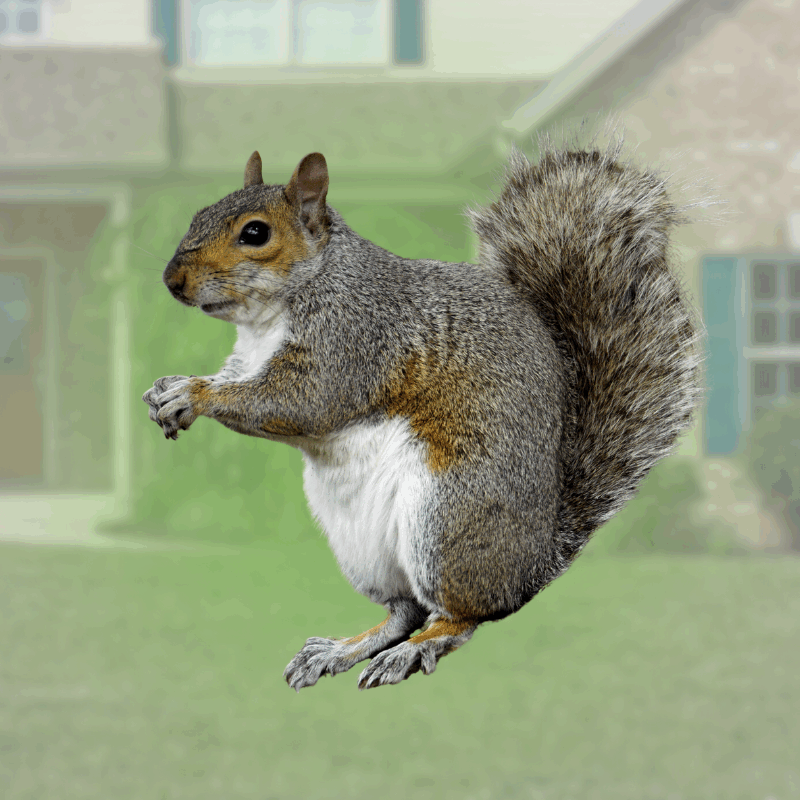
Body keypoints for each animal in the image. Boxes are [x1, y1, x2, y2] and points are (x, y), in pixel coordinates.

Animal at [143, 134, 702, 691]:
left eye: (255, 233)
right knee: (405, 611)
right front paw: (169, 388)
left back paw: (413, 650)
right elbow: (234, 380)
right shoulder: (248, 359)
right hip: (365, 548)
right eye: (199, 214)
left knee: (464, 615)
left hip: (446, 519)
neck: (274, 312)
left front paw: (193, 396)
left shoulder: (353, 341)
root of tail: (536, 562)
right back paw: (343, 650)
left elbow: (299, 402)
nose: (172, 280)